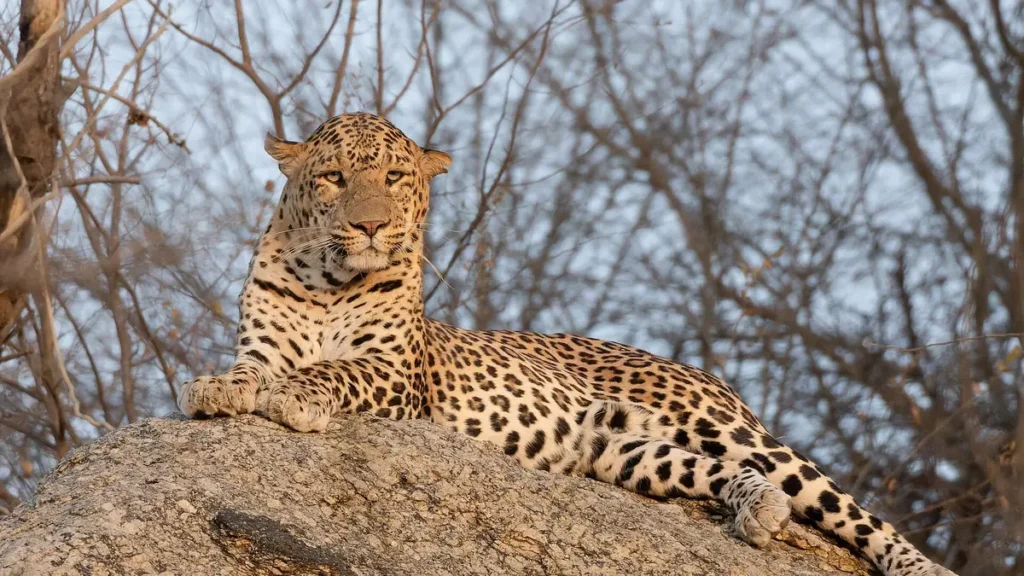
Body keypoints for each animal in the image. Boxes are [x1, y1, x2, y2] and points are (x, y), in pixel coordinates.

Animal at [179, 112, 956, 576]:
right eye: (334, 178)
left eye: (395, 178)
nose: (370, 227)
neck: (327, 281)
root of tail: (698, 371)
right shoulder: (263, 344)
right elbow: (249, 370)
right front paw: (217, 388)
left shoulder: (397, 374)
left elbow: (335, 372)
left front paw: (295, 397)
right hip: (622, 451)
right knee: (713, 474)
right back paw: (757, 509)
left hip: (731, 429)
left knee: (855, 511)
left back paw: (917, 565)